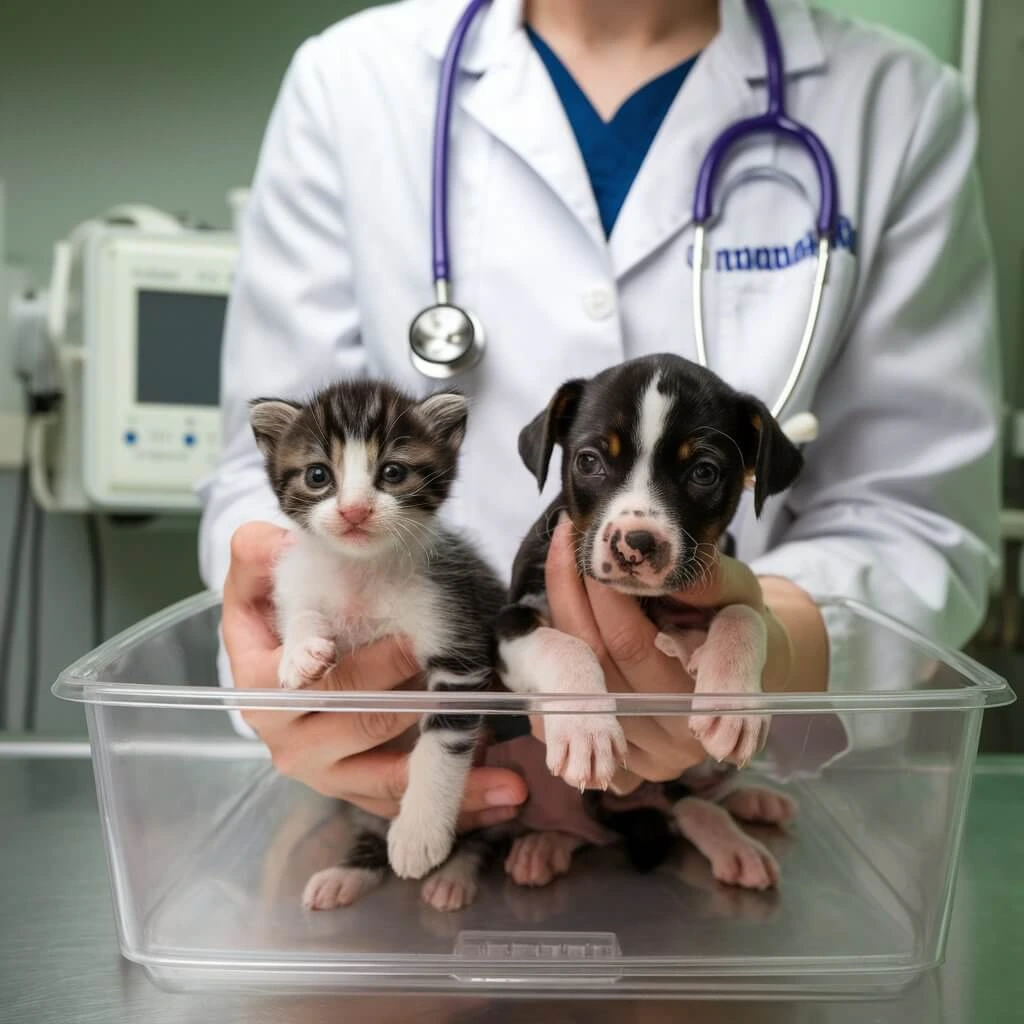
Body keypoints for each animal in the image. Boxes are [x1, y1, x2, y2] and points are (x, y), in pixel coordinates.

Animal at [246, 380, 503, 909]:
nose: (354, 510)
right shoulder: (301, 576)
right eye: (318, 475)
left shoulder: (454, 629)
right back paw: (346, 874)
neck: (362, 569)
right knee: (367, 827)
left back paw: (460, 873)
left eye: (393, 472)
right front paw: (302, 651)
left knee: (489, 836)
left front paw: (419, 834)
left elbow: (441, 745)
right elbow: (301, 608)